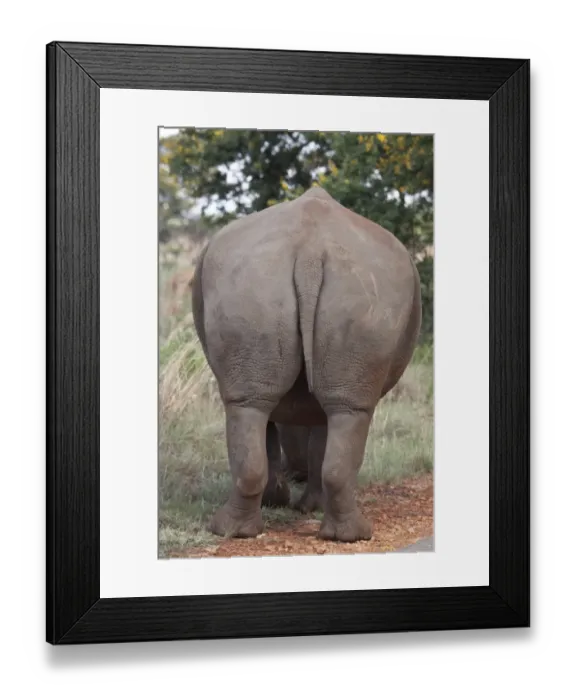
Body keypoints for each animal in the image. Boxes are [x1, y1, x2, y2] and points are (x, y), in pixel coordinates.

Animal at [191, 186, 422, 542]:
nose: (293, 473)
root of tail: (311, 253)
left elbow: (306, 438)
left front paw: (292, 504)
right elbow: (312, 439)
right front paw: (292, 504)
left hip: (269, 283)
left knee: (258, 405)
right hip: (340, 289)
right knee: (336, 411)